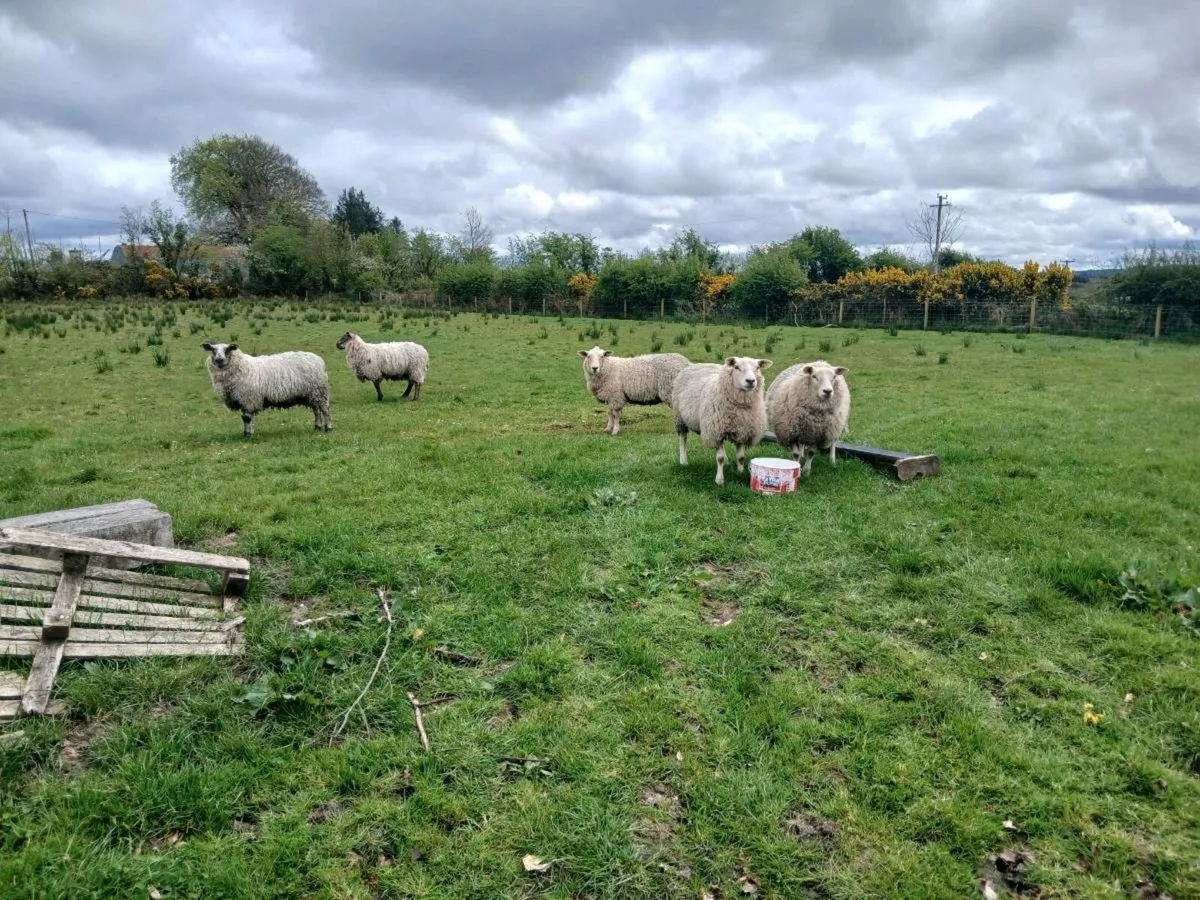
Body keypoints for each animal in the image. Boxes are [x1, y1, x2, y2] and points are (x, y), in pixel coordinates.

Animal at [201, 342, 332, 438]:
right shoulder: (242, 399)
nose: (219, 359)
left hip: (319, 391)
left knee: (325, 409)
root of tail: (319, 360)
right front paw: (245, 433)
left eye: (227, 349)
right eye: (213, 350)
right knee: (316, 410)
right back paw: (317, 427)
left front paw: (249, 435)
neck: (241, 367)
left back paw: (329, 428)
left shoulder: (249, 399)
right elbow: (243, 418)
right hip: (311, 393)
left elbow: (247, 418)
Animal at [672, 356, 772, 485]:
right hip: (680, 418)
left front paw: (740, 473)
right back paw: (683, 461)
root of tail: (696, 364)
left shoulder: (742, 430)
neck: (741, 407)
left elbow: (741, 457)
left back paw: (726, 461)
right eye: (736, 367)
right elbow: (719, 458)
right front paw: (719, 480)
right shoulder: (716, 431)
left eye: (758, 367)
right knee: (683, 439)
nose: (750, 381)